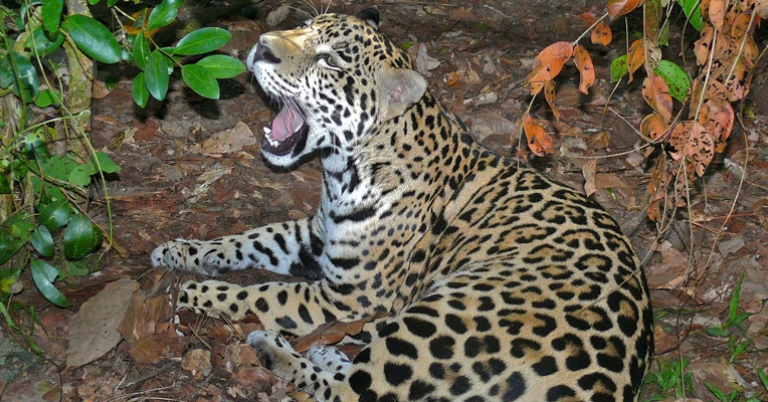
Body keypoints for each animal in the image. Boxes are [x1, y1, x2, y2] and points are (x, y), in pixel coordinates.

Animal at [152, 8, 653, 402]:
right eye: (305, 27)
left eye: (329, 59)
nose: (260, 46)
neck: (342, 172)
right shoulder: (317, 235)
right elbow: (251, 239)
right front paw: (181, 251)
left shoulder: (345, 296)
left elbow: (261, 293)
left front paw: (196, 292)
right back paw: (326, 350)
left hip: (445, 314)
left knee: (354, 393)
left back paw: (271, 347)